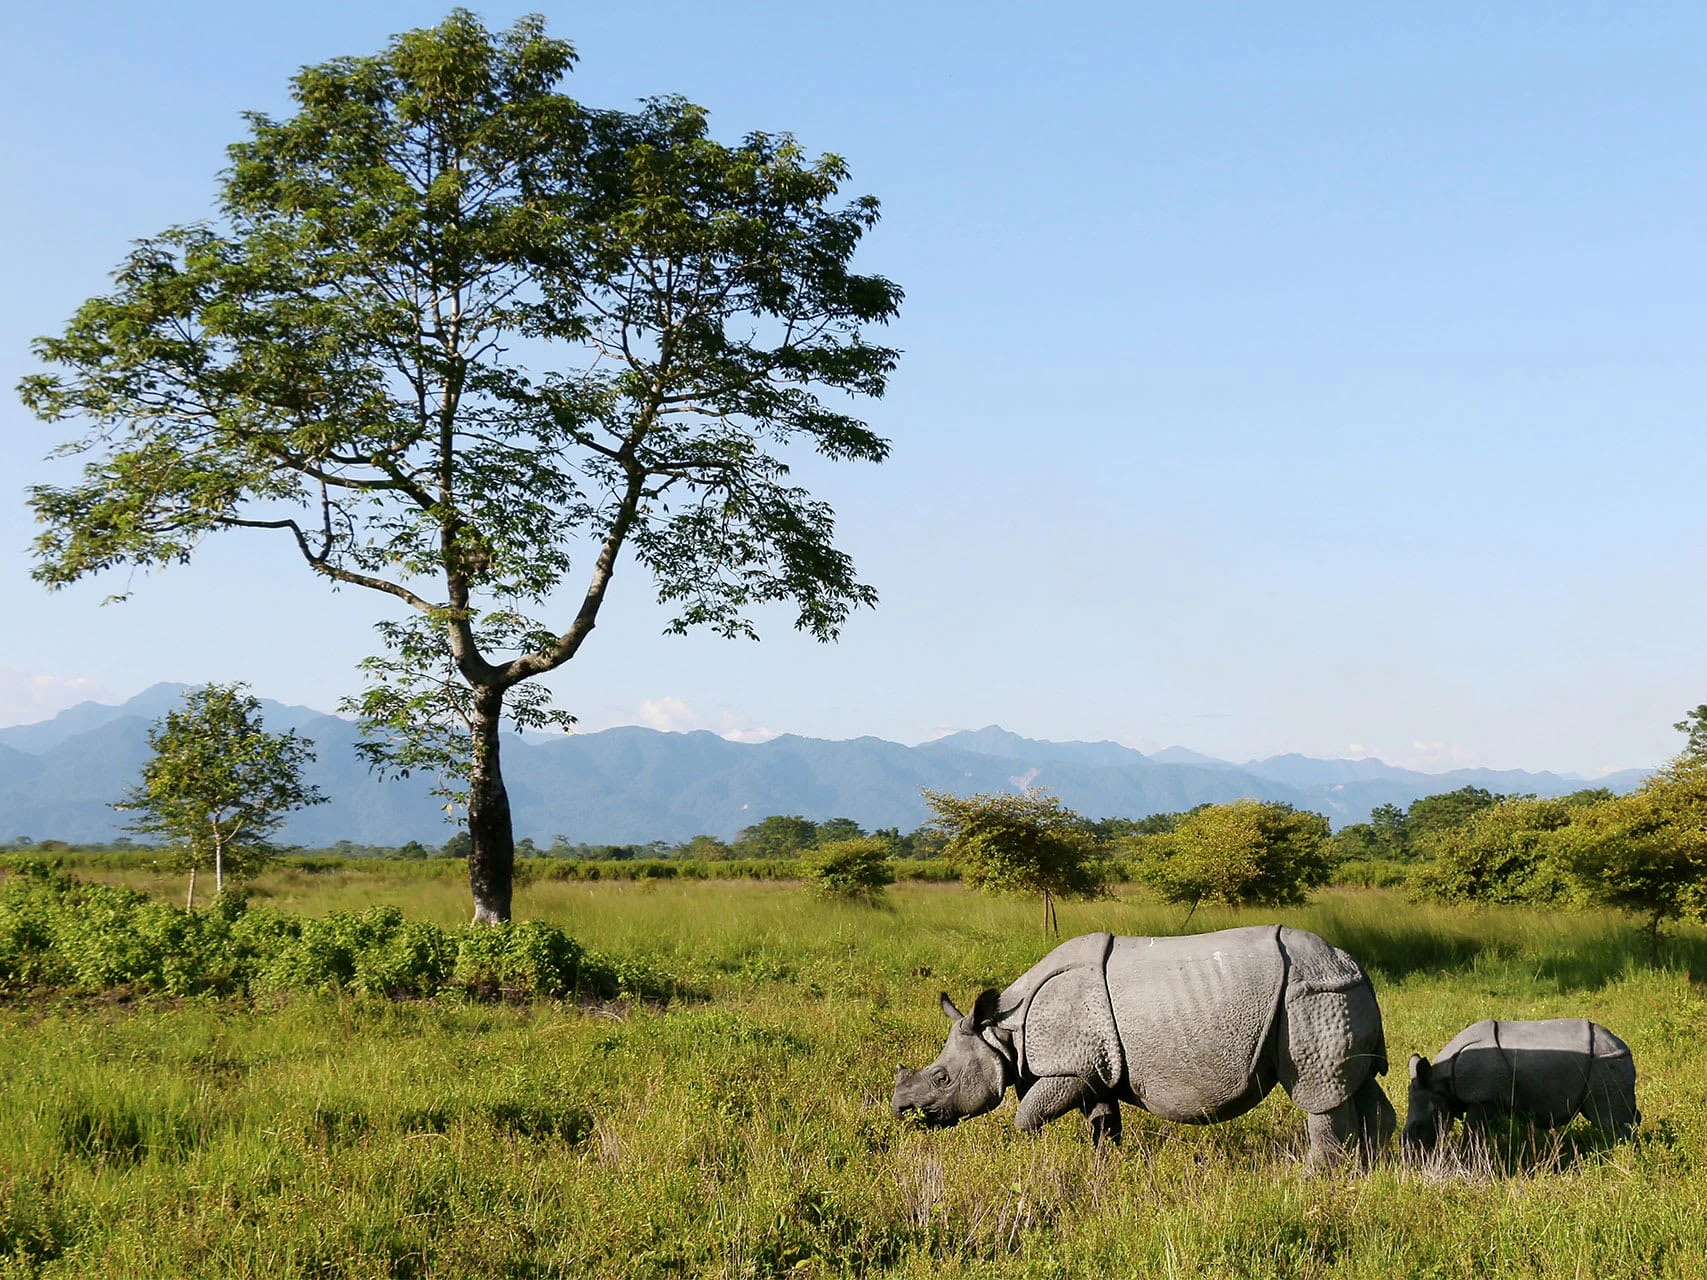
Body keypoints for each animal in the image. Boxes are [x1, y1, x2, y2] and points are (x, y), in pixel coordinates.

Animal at [892, 926, 1394, 1167]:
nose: (900, 1109)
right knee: (1354, 1083)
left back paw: (1316, 1178)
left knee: (1318, 1093)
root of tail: (1353, 964)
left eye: (941, 1078)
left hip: (1310, 997)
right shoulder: (1093, 1070)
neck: (1002, 1031)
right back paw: (1379, 1167)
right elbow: (1102, 1119)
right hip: (1335, 994)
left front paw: (1027, 1153)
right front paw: (1105, 1166)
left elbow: (1027, 1114)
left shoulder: (1067, 1068)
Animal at [1402, 1019, 1639, 1154]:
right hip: (1606, 1060)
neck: (1441, 1081)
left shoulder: (1483, 1099)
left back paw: (1624, 1154)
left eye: (1420, 1127)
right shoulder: (1490, 1099)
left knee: (1608, 1118)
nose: (1410, 1157)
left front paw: (1467, 1159)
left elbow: (1472, 1133)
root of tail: (1621, 1044)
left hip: (1604, 1061)